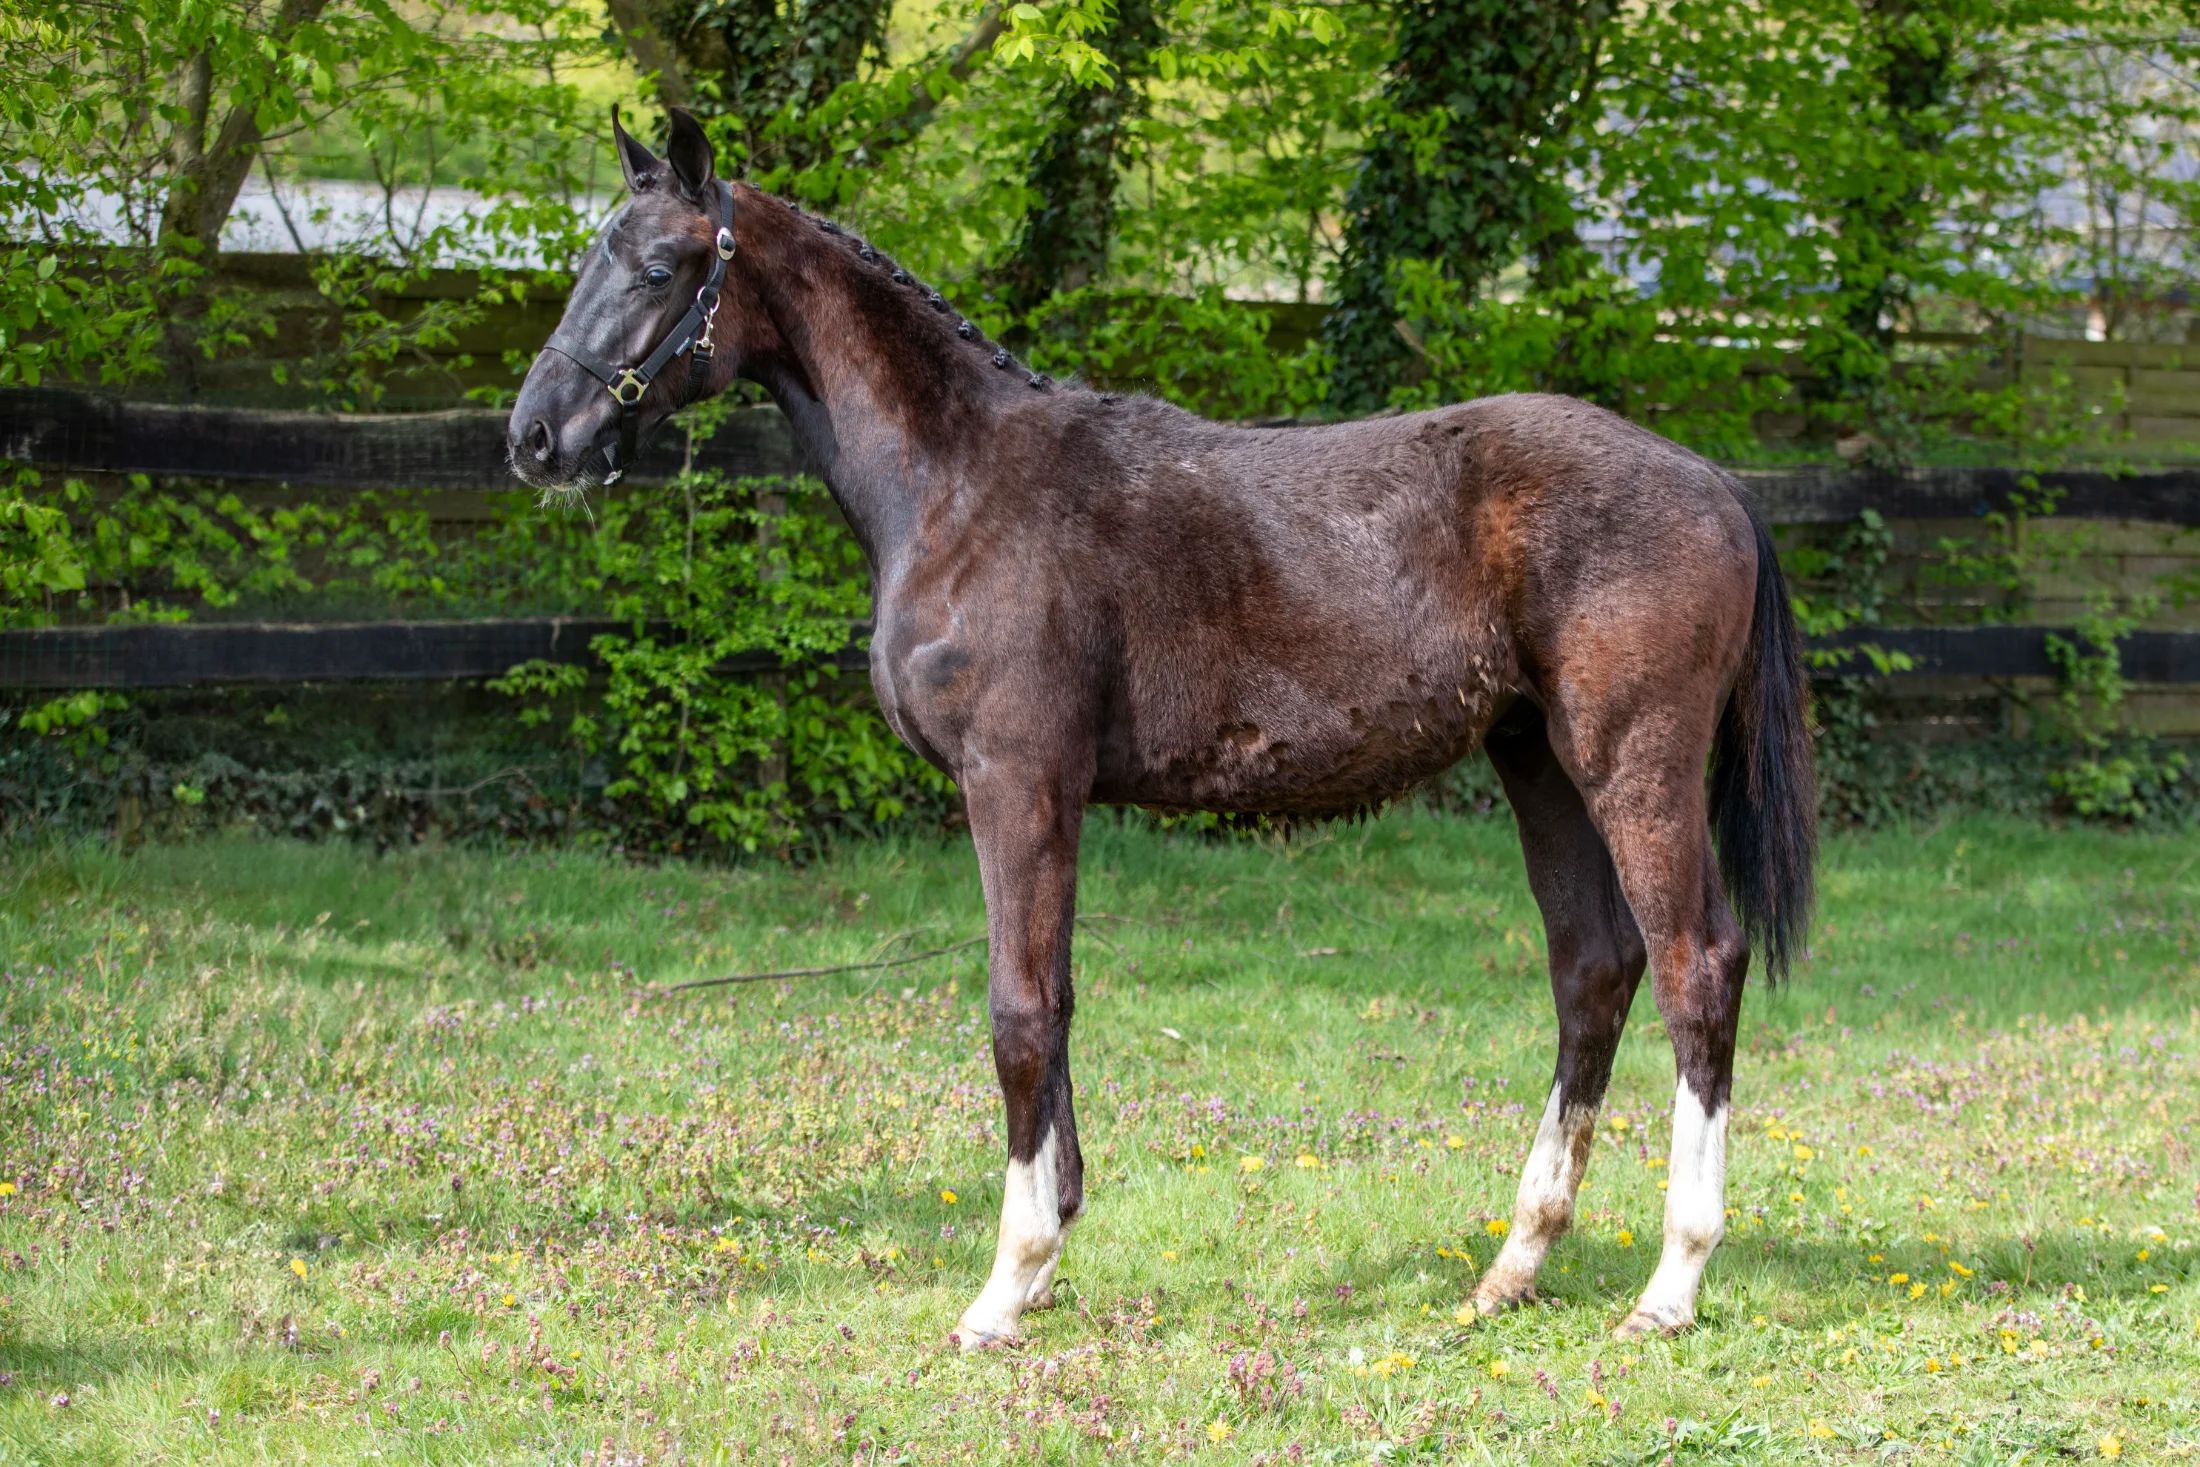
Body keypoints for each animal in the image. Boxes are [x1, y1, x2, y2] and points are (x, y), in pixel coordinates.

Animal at [508, 108, 1817, 1349]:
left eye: (663, 263)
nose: (536, 438)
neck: (961, 486)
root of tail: (1716, 483)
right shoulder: (1045, 796)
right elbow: (1054, 1001)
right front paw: (1045, 1257)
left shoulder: (1016, 781)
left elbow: (1019, 1010)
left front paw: (1006, 1284)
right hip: (1536, 759)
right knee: (1592, 965)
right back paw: (1515, 1265)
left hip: (1630, 763)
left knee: (1697, 963)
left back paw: (1671, 1282)